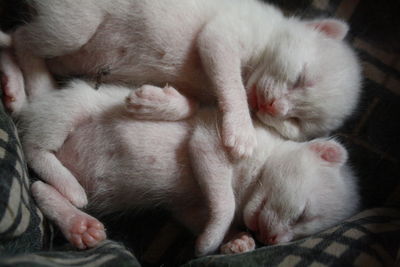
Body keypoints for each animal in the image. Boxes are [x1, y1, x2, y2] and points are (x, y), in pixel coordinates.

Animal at [0, 0, 362, 159]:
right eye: (300, 79)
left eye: (296, 122)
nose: (272, 106)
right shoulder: (221, 36)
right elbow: (232, 86)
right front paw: (242, 132)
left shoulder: (204, 91)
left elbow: (191, 105)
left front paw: (156, 102)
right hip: (73, 25)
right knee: (22, 38)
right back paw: (38, 87)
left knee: (14, 41)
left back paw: (14, 89)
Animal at [2, 49, 360, 256]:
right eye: (302, 214)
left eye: (301, 229)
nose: (271, 239)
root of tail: (39, 102)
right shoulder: (210, 140)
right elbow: (226, 203)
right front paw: (210, 243)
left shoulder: (187, 207)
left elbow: (207, 213)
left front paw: (236, 240)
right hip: (71, 111)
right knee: (35, 148)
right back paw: (71, 187)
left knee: (38, 187)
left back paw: (79, 224)